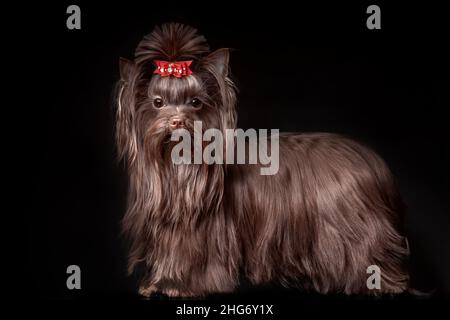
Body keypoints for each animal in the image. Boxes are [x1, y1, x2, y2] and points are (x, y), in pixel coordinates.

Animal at [114, 23, 410, 298]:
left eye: (196, 102)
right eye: (158, 102)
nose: (177, 121)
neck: (180, 169)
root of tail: (372, 160)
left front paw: (182, 286)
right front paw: (160, 284)